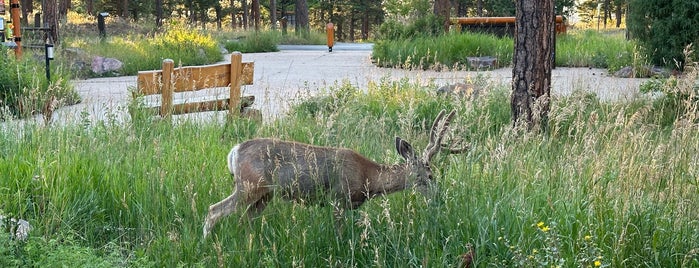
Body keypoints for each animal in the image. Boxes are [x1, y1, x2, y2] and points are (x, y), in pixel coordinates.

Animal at [202, 110, 468, 238]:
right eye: (430, 176)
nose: (439, 198)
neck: (369, 176)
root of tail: (234, 152)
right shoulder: (339, 198)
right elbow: (339, 233)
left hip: (264, 194)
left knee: (246, 219)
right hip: (249, 185)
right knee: (214, 210)